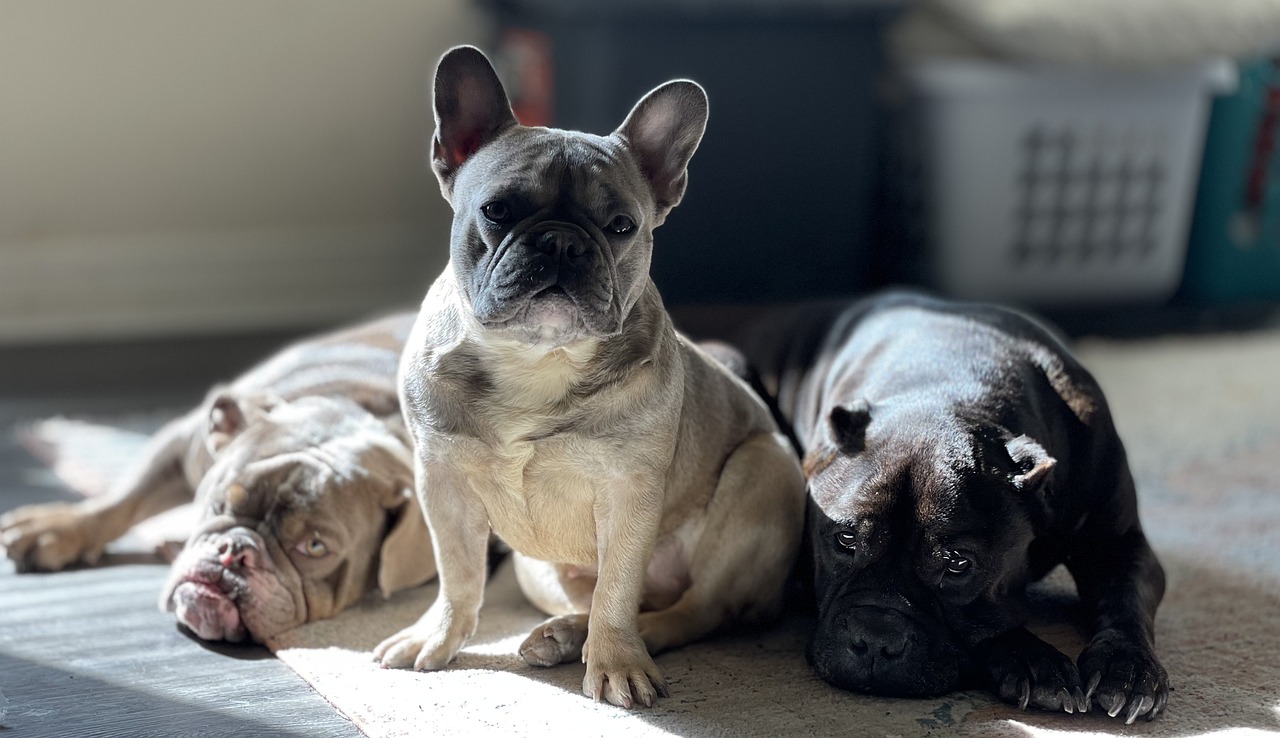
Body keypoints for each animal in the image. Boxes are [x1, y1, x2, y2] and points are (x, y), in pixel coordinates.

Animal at [1, 313, 435, 642]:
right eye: (219, 501)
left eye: (314, 547)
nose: (235, 551)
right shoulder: (182, 444)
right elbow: (122, 502)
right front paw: (58, 529)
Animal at [373, 46, 808, 706]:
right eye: (497, 210)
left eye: (622, 225)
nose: (561, 242)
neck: (538, 358)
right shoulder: (441, 482)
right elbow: (459, 574)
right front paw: (439, 637)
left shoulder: (628, 493)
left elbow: (617, 591)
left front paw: (617, 664)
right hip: (536, 567)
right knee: (609, 596)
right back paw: (562, 634)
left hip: (762, 471)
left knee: (686, 608)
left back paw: (613, 640)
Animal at [721, 290, 1172, 721]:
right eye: (845, 540)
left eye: (958, 564)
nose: (876, 639)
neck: (950, 386)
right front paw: (1034, 660)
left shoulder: (1116, 545)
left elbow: (1124, 599)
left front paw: (1127, 667)